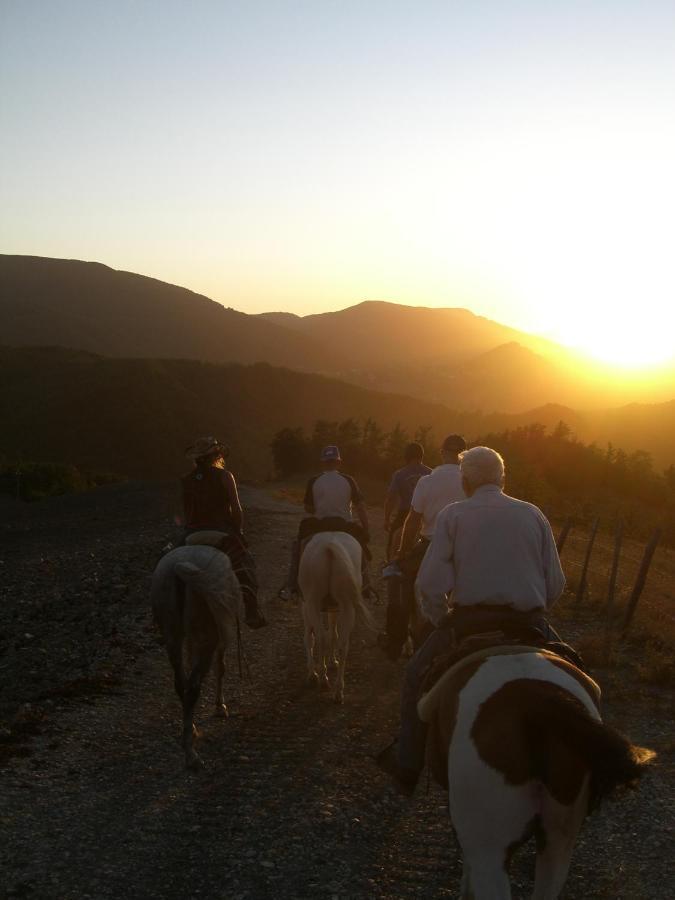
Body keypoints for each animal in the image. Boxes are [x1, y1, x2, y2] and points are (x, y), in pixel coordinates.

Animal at [151, 540, 243, 768]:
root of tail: (178, 569)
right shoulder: (220, 634)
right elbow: (221, 667)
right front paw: (220, 706)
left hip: (172, 634)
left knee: (181, 683)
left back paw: (189, 731)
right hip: (207, 636)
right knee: (193, 687)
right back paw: (190, 754)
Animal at [298, 536, 378, 704]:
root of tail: (329, 547)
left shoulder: (304, 605)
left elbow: (309, 638)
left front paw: (312, 674)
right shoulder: (333, 608)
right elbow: (333, 634)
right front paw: (332, 661)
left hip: (312, 602)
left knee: (320, 638)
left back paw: (323, 680)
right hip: (348, 605)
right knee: (342, 644)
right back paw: (338, 690)